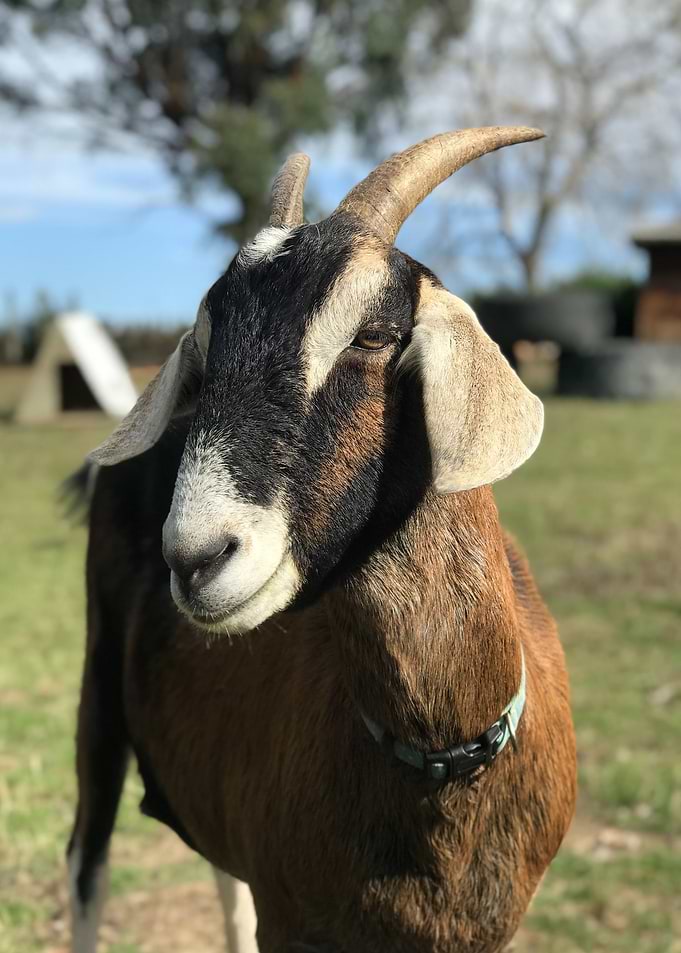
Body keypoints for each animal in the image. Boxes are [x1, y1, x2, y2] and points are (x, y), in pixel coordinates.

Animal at [67, 127, 577, 953]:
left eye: (373, 334)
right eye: (203, 355)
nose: (196, 558)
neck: (436, 768)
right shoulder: (293, 916)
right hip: (99, 690)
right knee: (87, 859)